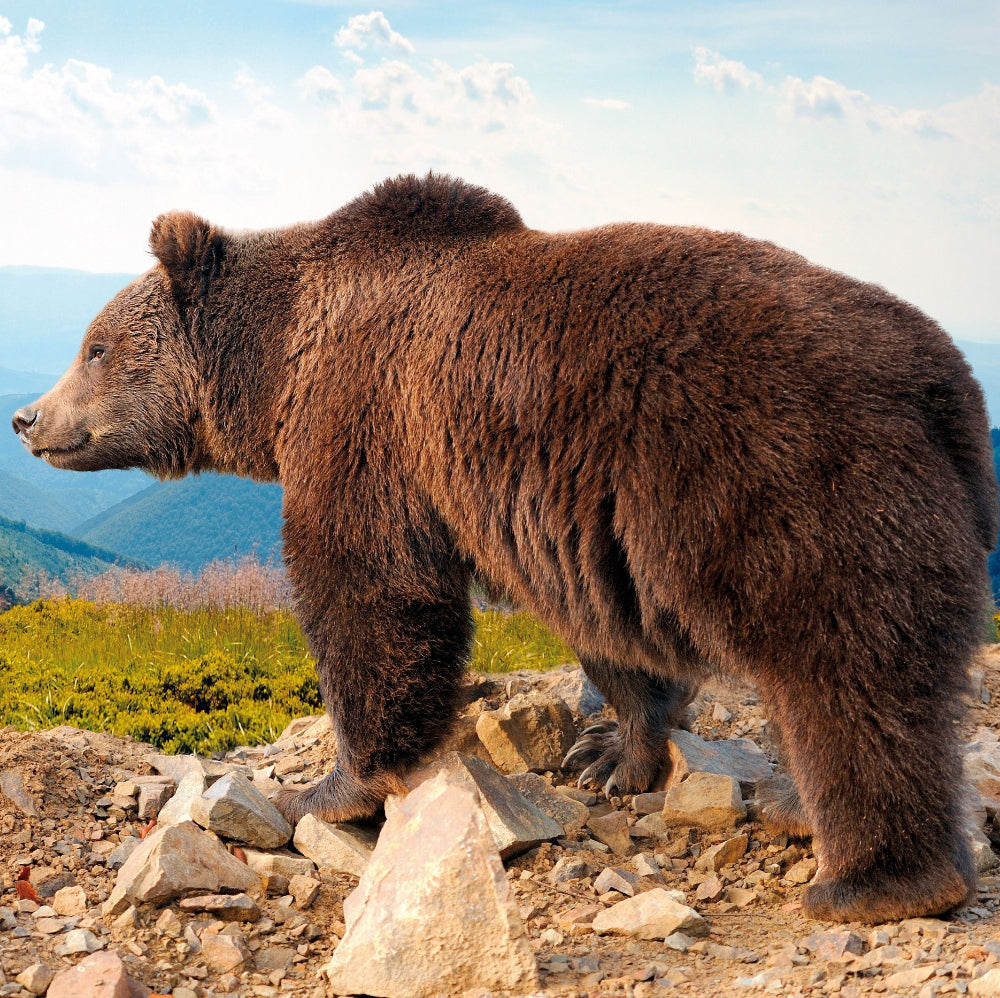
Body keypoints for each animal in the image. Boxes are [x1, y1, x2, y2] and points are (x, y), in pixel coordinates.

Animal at [12, 173, 997, 924]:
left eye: (95, 345)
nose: (27, 418)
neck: (278, 363)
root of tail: (943, 381)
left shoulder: (367, 425)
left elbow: (368, 595)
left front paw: (330, 788)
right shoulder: (572, 519)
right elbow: (608, 636)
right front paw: (611, 752)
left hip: (788, 481)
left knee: (846, 675)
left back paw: (872, 879)